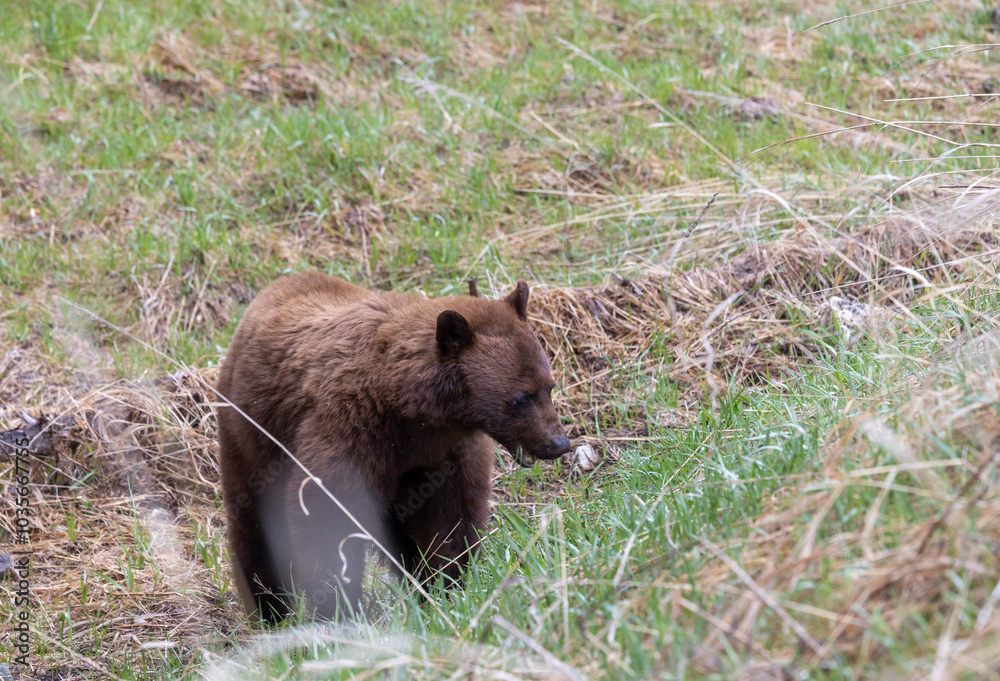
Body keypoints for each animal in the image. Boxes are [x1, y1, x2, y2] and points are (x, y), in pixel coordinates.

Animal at [216, 272, 570, 624]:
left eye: (549, 386)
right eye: (521, 397)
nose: (559, 443)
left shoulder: (442, 455)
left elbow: (450, 517)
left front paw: (446, 585)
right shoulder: (348, 430)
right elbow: (324, 513)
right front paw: (337, 607)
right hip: (251, 434)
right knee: (252, 522)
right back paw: (268, 608)